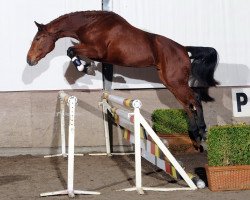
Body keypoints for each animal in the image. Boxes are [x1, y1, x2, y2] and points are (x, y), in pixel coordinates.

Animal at [27, 10, 218, 149]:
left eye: (38, 38)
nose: (29, 60)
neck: (90, 25)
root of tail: (184, 50)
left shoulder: (97, 50)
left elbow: (71, 50)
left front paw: (84, 68)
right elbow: (73, 51)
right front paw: (86, 66)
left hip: (175, 82)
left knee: (195, 100)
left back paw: (202, 131)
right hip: (171, 83)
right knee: (188, 105)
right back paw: (195, 136)